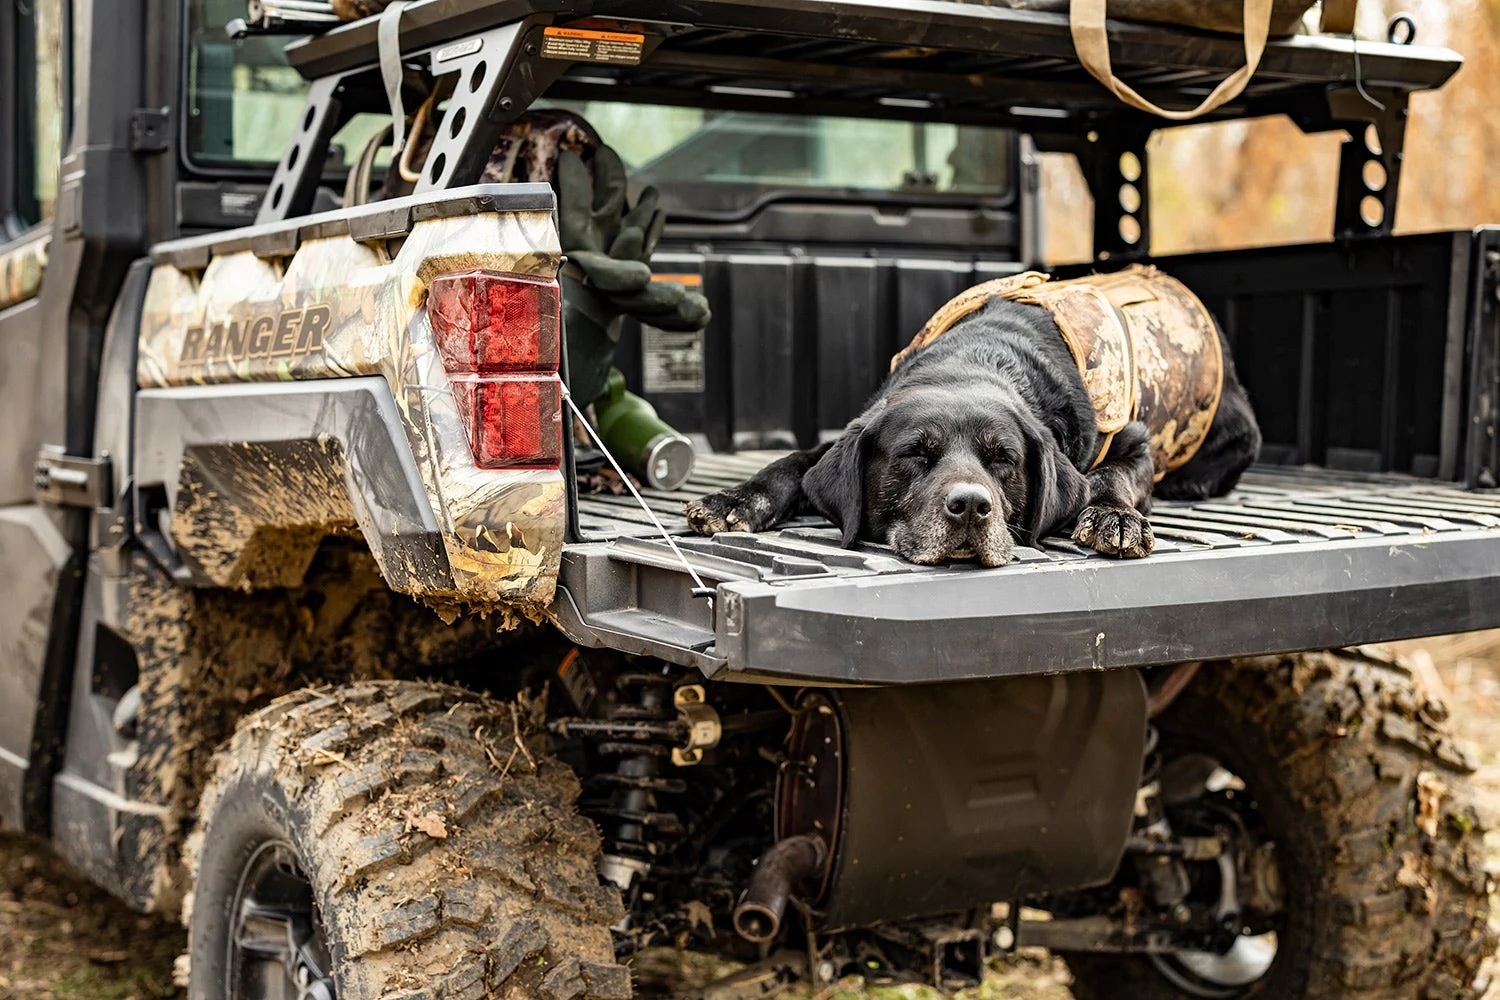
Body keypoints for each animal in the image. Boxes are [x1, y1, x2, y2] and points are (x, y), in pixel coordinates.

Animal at [687, 287, 1260, 563]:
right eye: (915, 455)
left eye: (1003, 459)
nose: (969, 508)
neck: (977, 360)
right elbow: (791, 462)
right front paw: (735, 500)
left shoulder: (1135, 442)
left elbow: (1110, 475)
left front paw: (1114, 518)